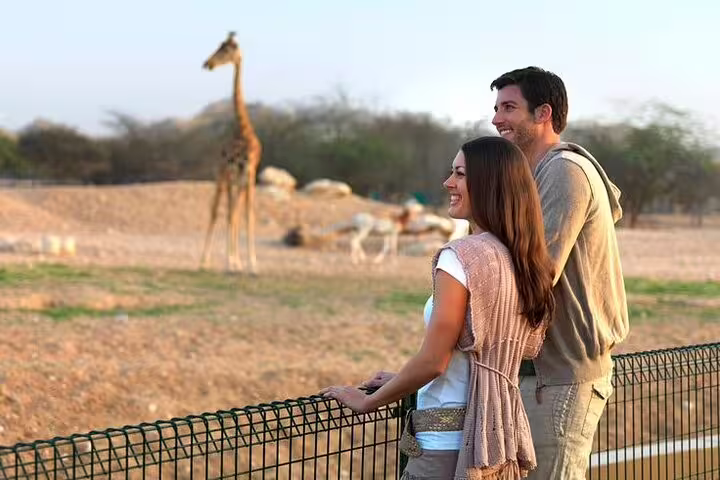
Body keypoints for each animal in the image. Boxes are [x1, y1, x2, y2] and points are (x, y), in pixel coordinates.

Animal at [199, 32, 262, 274]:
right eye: (220, 46)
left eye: (226, 49)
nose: (207, 64)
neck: (242, 130)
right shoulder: (230, 172)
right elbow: (228, 214)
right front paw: (230, 262)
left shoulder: (249, 174)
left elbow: (246, 215)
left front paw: (250, 265)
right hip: (222, 176)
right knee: (216, 209)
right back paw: (203, 261)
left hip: (236, 181)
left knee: (233, 212)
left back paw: (235, 261)